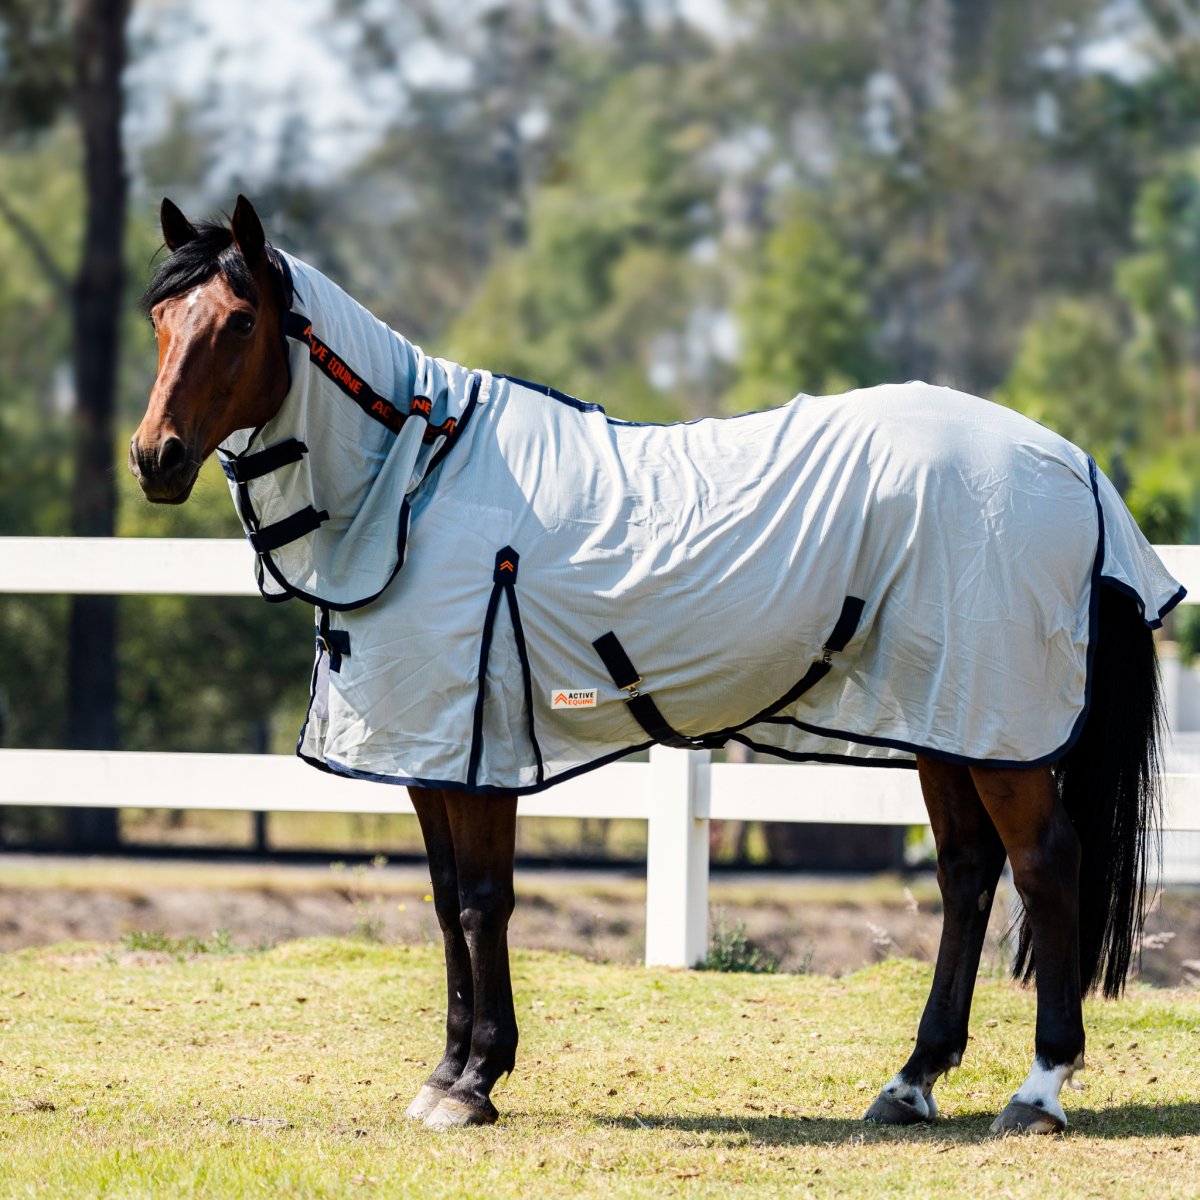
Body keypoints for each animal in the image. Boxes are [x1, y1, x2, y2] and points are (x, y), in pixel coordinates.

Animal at [131, 194, 1183, 1134]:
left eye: (237, 322)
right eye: (159, 320)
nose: (154, 458)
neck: (417, 487)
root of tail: (1072, 464)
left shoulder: (480, 752)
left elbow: (481, 903)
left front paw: (473, 1082)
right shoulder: (427, 755)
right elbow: (443, 905)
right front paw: (450, 1072)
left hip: (999, 729)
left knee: (1044, 865)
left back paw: (1038, 1092)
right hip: (947, 720)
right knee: (968, 875)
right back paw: (912, 1082)